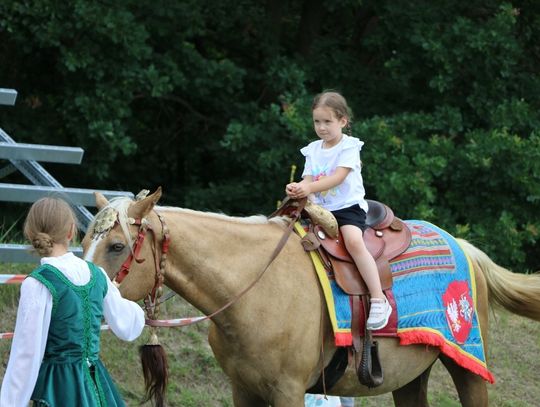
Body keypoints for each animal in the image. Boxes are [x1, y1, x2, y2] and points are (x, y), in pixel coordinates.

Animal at [82, 190, 540, 406]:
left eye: (118, 246)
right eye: (85, 239)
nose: (83, 293)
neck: (254, 288)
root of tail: (463, 247)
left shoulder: (289, 392)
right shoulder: (243, 391)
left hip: (468, 367)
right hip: (411, 376)